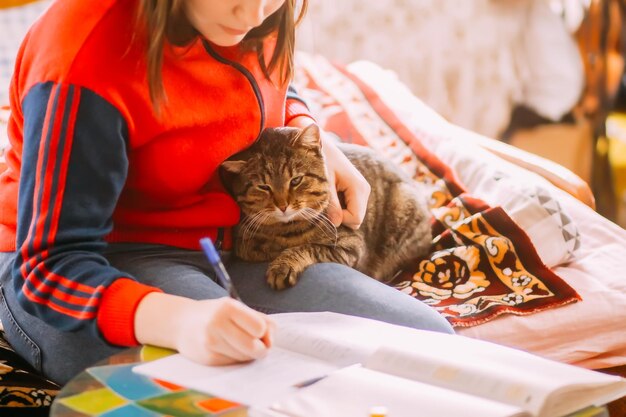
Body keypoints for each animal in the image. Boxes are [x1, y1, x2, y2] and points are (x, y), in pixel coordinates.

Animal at [222, 123, 432, 290]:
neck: (286, 230)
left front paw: (283, 264)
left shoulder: (351, 247)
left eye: (296, 180)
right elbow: (251, 247)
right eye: (264, 187)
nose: (283, 205)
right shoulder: (241, 239)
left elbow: (308, 248)